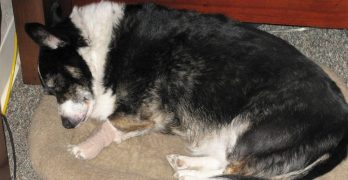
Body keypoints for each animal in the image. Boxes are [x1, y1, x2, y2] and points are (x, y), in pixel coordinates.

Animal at [25, 1, 346, 179]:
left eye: (56, 86)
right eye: (49, 92)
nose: (66, 126)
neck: (99, 49)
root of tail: (341, 125)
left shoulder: (144, 110)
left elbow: (111, 122)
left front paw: (83, 147)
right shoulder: (148, 119)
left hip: (251, 128)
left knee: (234, 169)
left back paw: (187, 173)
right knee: (225, 161)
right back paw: (183, 162)